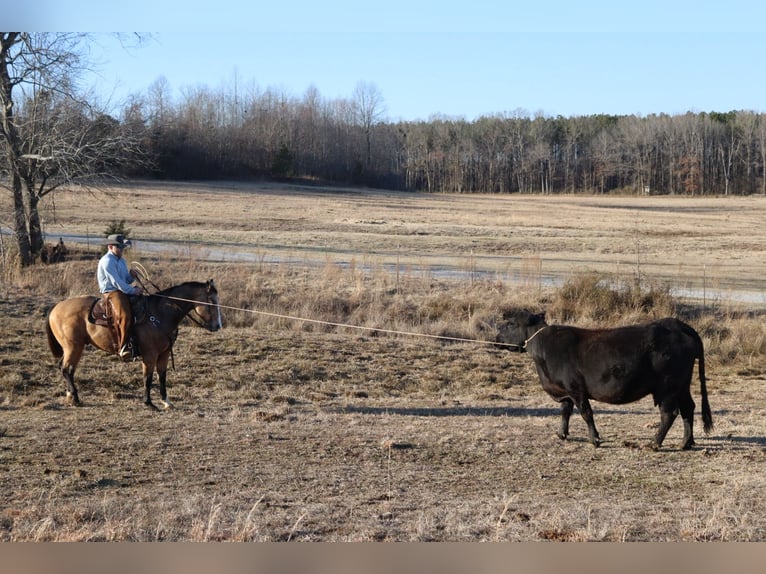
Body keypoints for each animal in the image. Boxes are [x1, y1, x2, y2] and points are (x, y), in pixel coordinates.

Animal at [46, 282, 222, 412]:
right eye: (212, 301)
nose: (218, 326)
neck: (159, 314)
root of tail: (55, 308)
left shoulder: (164, 354)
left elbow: (162, 377)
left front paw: (166, 402)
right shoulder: (150, 355)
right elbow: (148, 378)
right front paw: (149, 403)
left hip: (72, 348)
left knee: (66, 368)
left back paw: (70, 396)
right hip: (73, 347)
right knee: (66, 369)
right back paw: (75, 398)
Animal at [498, 310, 712, 450]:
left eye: (511, 323)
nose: (496, 334)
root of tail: (679, 325)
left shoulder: (576, 389)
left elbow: (586, 413)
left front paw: (595, 440)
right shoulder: (565, 391)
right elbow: (565, 411)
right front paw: (561, 434)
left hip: (667, 387)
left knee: (669, 413)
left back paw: (654, 443)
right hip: (682, 385)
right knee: (688, 408)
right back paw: (686, 442)